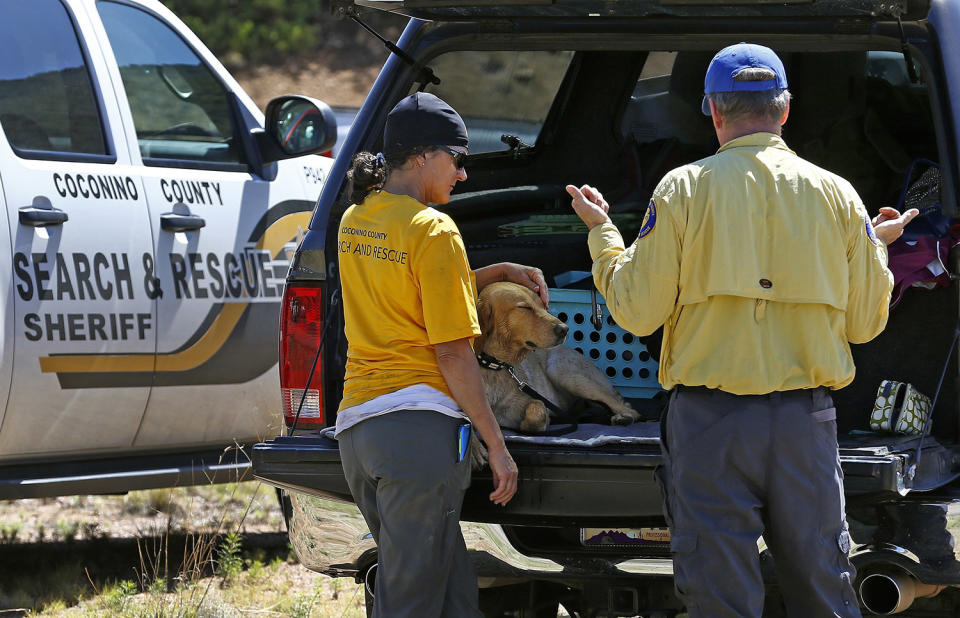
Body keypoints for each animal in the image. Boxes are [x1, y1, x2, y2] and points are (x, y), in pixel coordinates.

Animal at [472, 280, 636, 434]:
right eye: (524, 308)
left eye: (543, 306)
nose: (564, 329)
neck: (494, 366)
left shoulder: (535, 400)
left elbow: (536, 410)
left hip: (564, 373)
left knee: (630, 410)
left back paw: (622, 418)